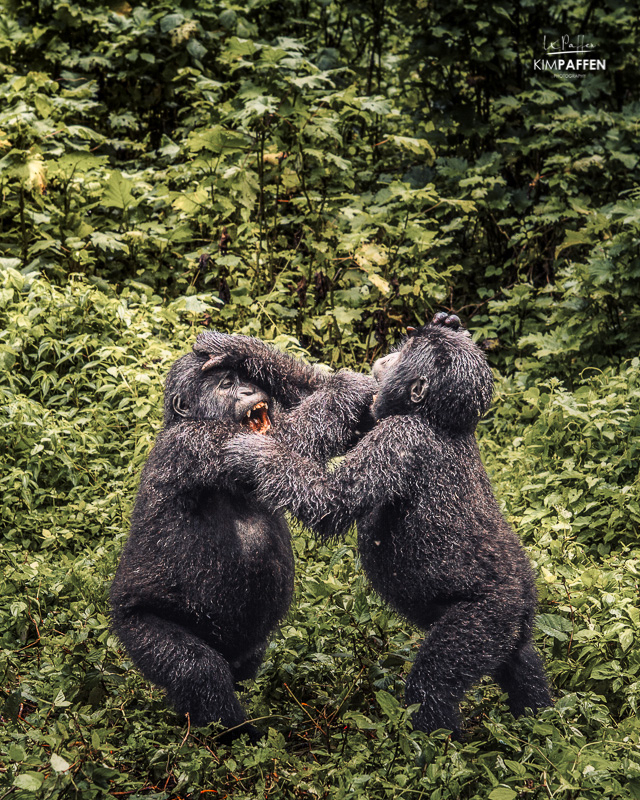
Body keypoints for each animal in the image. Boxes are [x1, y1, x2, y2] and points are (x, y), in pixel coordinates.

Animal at [111, 332, 376, 736]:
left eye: (242, 379)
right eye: (225, 385)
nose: (250, 389)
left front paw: (236, 347)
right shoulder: (197, 443)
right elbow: (283, 441)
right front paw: (348, 386)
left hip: (243, 648)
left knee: (243, 665)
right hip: (134, 624)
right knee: (196, 669)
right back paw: (235, 734)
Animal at [222, 312, 552, 736]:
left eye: (406, 354)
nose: (389, 356)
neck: (433, 419)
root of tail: (525, 601)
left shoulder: (398, 439)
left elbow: (331, 501)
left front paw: (255, 453)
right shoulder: (378, 416)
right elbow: (334, 395)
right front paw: (236, 349)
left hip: (488, 619)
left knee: (434, 684)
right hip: (514, 630)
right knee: (523, 667)